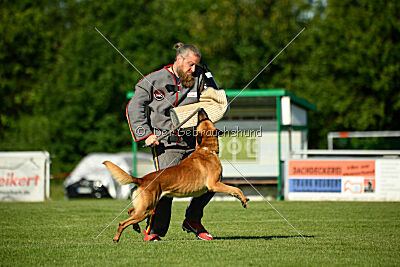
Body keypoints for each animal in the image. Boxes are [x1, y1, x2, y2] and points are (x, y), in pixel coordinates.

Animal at [103, 109, 247, 243]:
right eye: (202, 120)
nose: (200, 109)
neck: (206, 149)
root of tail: (142, 179)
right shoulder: (214, 184)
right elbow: (236, 189)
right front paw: (243, 200)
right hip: (146, 209)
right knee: (123, 223)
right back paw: (118, 238)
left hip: (144, 207)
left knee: (130, 212)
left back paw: (137, 227)